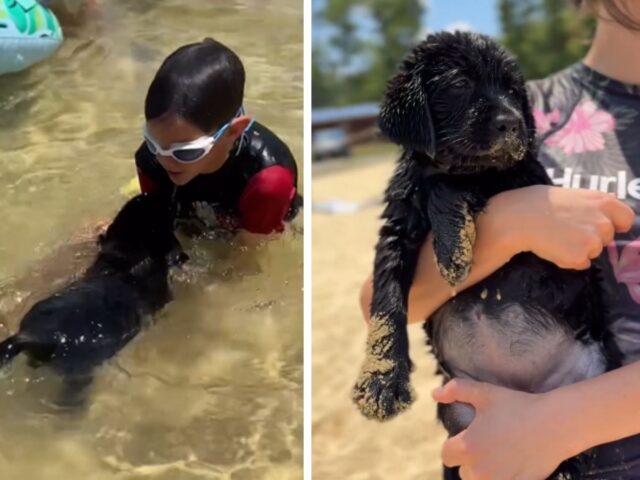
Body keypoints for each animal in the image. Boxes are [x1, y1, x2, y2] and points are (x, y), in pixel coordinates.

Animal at [352, 31, 616, 438]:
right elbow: (386, 300)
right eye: (460, 84)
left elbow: (454, 182)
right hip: (457, 412)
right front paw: (381, 383)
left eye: (512, 90)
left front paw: (450, 250)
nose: (512, 124)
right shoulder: (396, 230)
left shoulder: (518, 176)